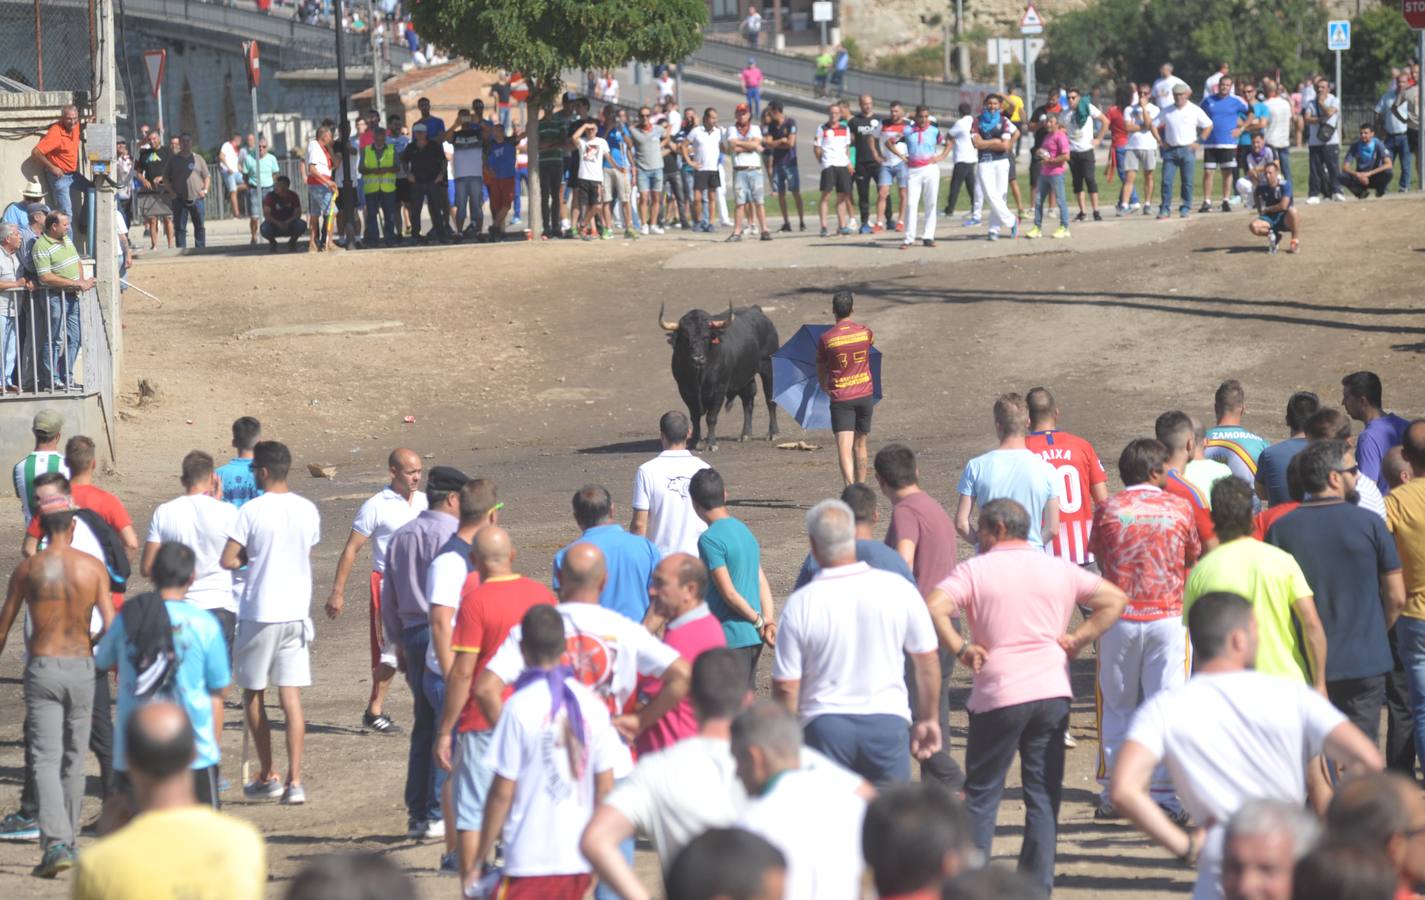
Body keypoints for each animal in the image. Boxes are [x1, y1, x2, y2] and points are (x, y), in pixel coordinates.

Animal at [658, 301, 780, 450]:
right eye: (686, 337)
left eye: (706, 336)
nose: (697, 358)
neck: (700, 376)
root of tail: (756, 310)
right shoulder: (685, 390)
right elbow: (695, 417)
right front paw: (694, 442)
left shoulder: (719, 389)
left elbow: (711, 417)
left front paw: (711, 444)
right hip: (745, 377)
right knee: (748, 401)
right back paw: (745, 434)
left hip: (768, 367)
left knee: (770, 399)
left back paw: (773, 433)